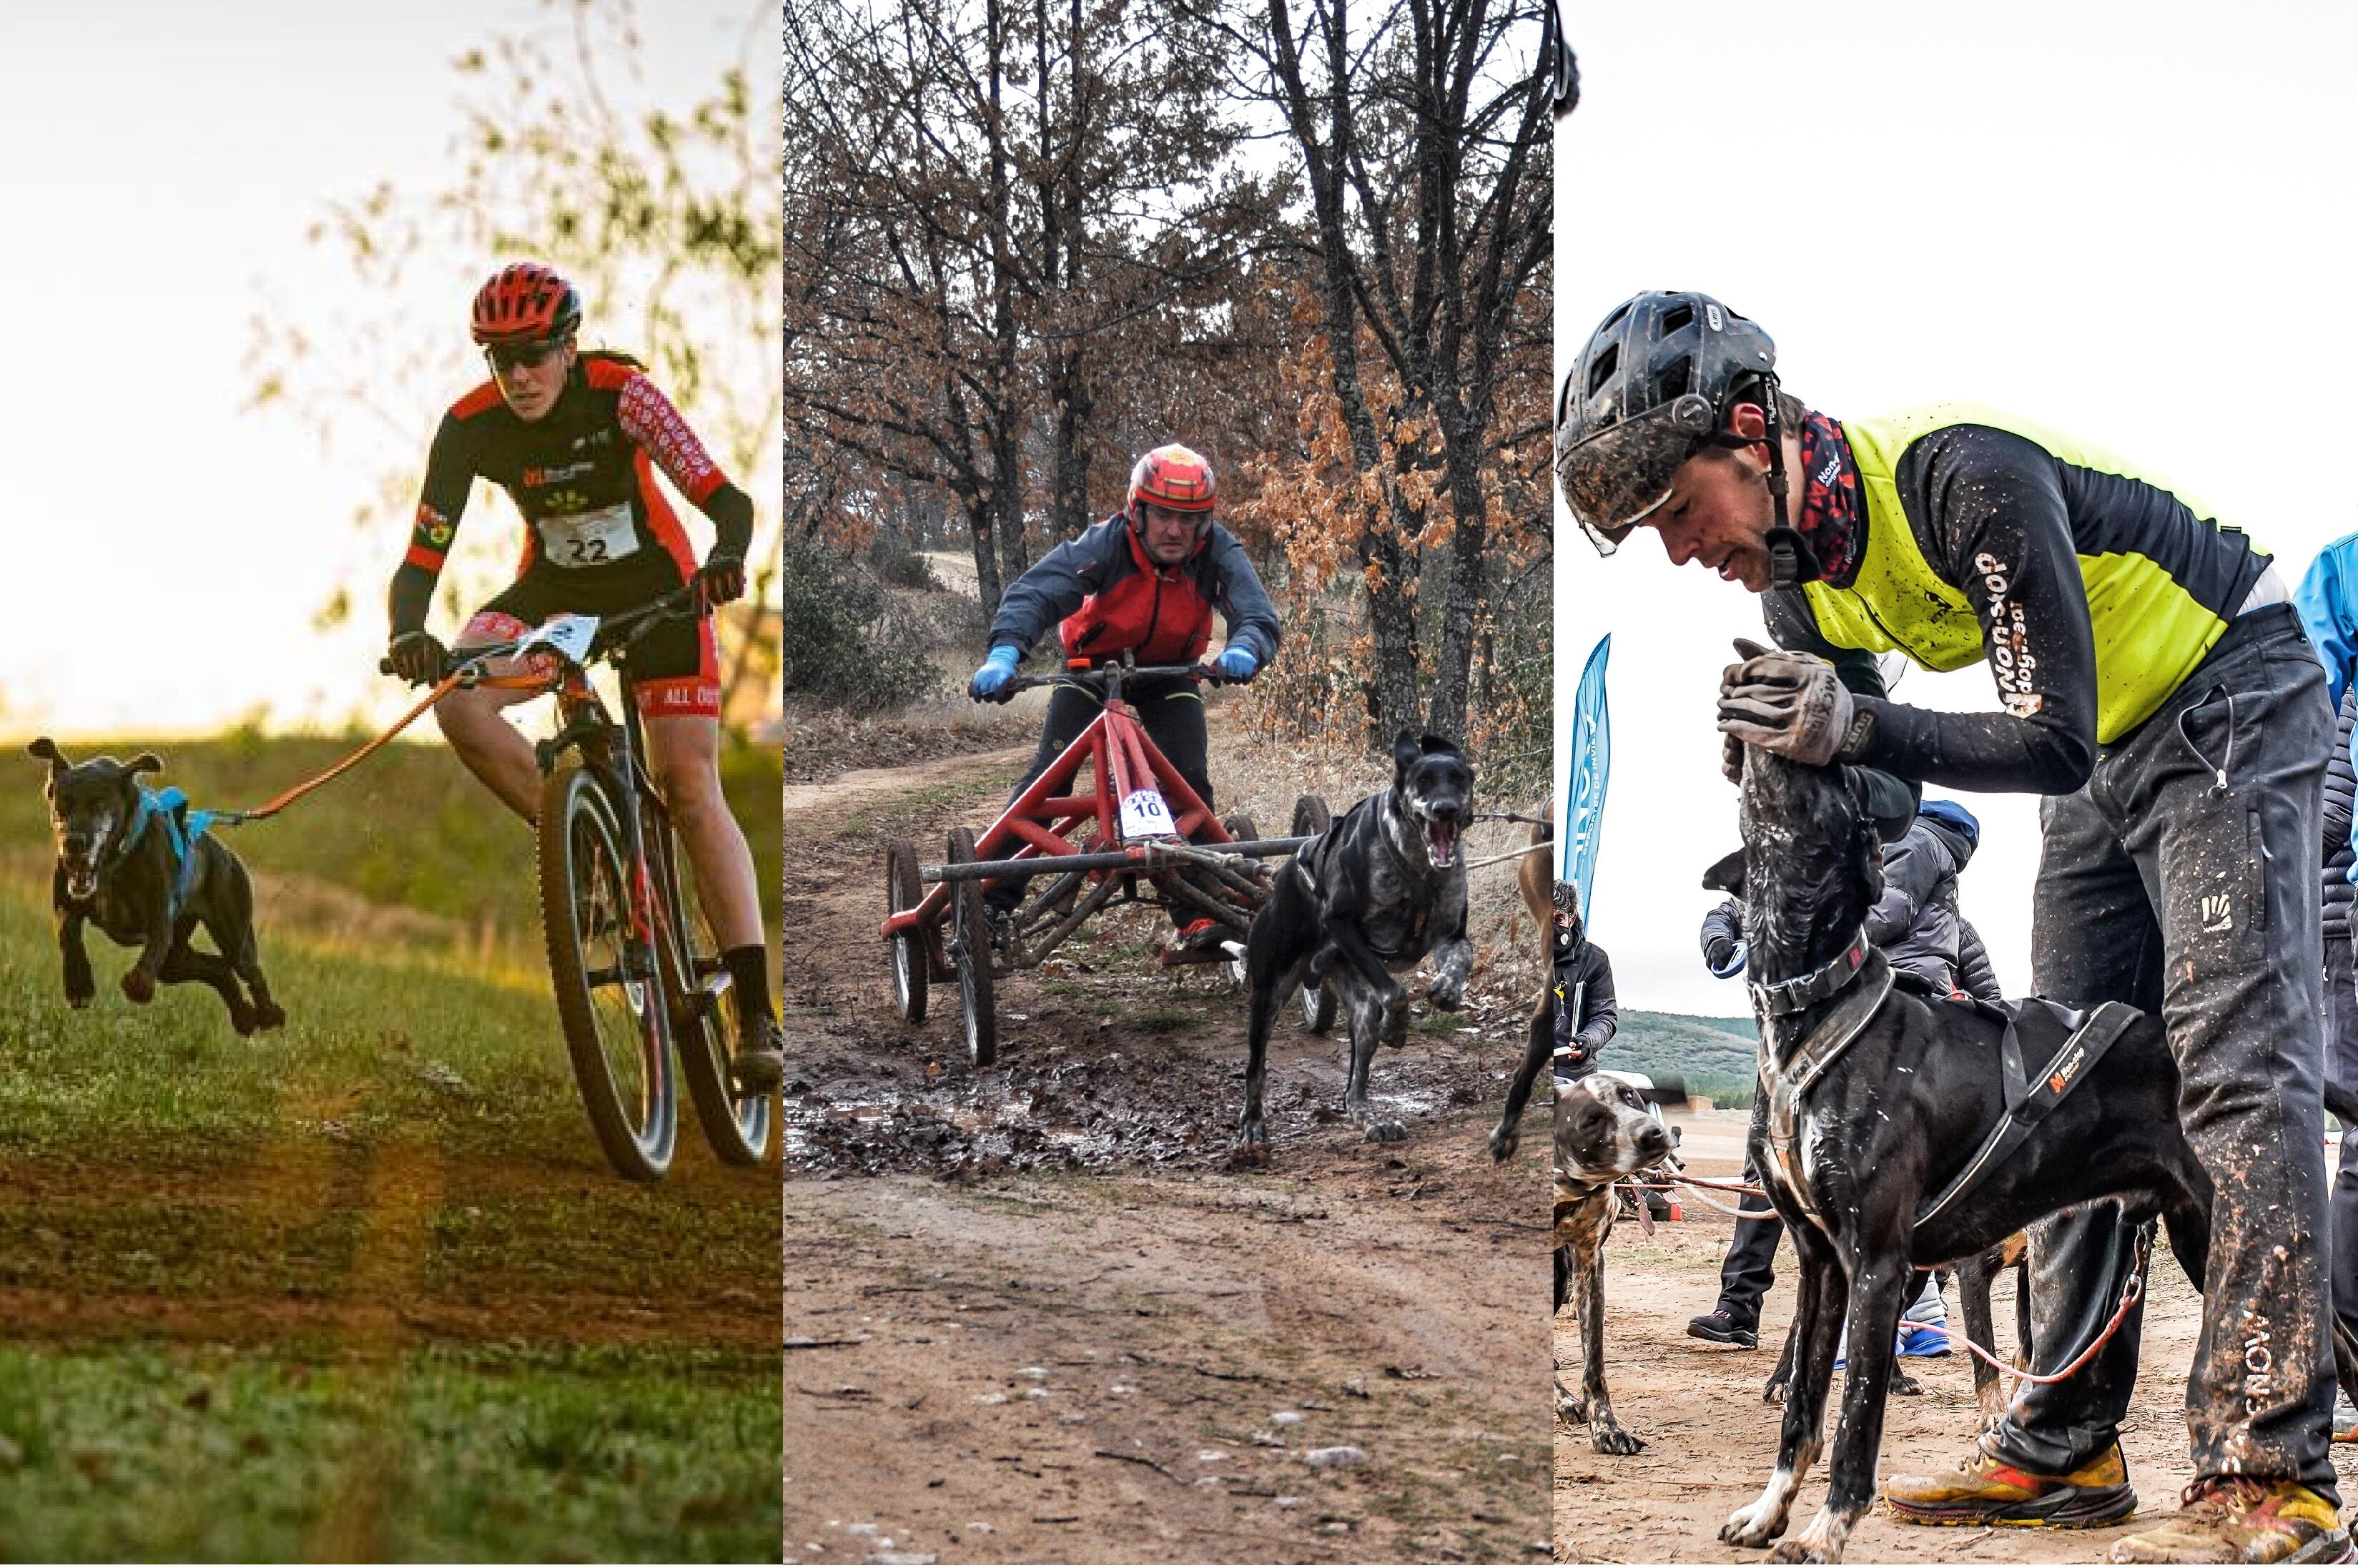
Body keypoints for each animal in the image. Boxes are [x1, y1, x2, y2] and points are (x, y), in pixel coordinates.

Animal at [29, 740, 284, 1032]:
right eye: (62, 804)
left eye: (99, 804)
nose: (73, 843)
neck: (113, 863)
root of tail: (228, 853)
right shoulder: (66, 902)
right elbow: (67, 933)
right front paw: (79, 985)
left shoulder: (159, 918)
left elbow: (147, 962)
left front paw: (135, 984)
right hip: (175, 961)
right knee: (219, 969)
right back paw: (243, 1016)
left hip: (232, 933)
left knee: (249, 970)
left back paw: (269, 1013)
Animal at [1235, 726, 1471, 1155]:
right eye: (1423, 780)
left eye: (1460, 778)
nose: (1444, 808)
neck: (1417, 866)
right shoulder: (1341, 926)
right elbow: (1395, 992)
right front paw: (1398, 1026)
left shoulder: (1451, 935)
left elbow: (1463, 958)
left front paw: (1447, 990)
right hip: (1269, 995)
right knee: (1255, 1067)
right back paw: (1253, 1124)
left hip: (1360, 1010)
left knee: (1352, 1090)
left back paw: (1372, 1121)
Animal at [1565, 1070, 1679, 1452]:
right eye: (1592, 1119)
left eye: (1631, 1097)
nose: (1653, 1135)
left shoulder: (1590, 1266)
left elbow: (1594, 1364)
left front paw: (1607, 1429)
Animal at [1707, 740, 2197, 1556]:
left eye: (1835, 789)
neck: (1814, 1008)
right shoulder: (1821, 1261)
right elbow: (1804, 1407)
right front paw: (1770, 1508)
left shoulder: (1877, 1263)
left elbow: (1856, 1419)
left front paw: (1826, 1530)